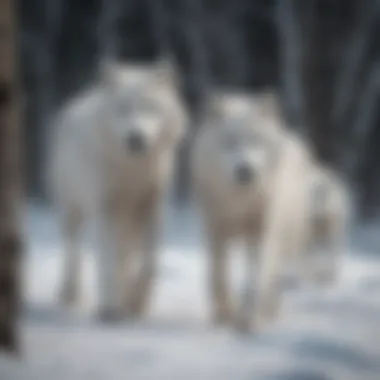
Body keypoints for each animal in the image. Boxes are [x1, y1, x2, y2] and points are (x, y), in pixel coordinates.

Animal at [46, 58, 188, 322]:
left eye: (149, 108)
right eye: (123, 109)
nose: (135, 138)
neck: (132, 172)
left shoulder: (152, 209)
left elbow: (150, 262)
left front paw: (135, 303)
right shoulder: (107, 210)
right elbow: (108, 262)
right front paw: (110, 308)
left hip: (128, 223)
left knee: (127, 254)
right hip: (73, 210)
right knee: (72, 250)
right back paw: (70, 293)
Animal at [191, 88, 348, 330]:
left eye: (256, 141)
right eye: (230, 142)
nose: (245, 171)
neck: (241, 202)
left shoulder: (264, 232)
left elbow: (258, 279)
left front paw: (248, 321)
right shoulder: (216, 231)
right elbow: (218, 276)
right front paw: (225, 315)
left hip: (287, 235)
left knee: (274, 274)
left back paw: (269, 310)